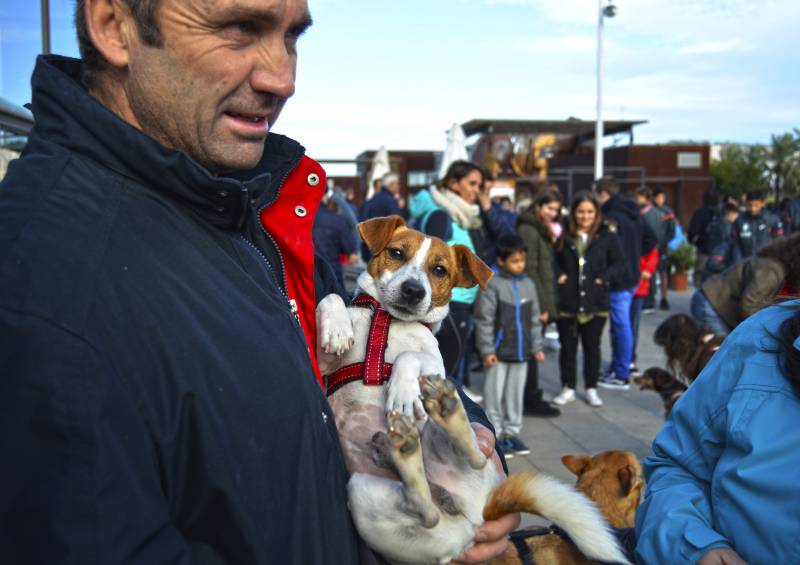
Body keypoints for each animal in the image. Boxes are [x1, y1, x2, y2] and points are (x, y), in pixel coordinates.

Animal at [316, 216, 628, 564]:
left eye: (439, 270)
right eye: (396, 253)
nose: (413, 290)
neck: (388, 320)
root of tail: (473, 523)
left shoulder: (437, 366)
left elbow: (410, 356)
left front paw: (402, 390)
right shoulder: (326, 367)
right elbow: (330, 299)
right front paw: (337, 327)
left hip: (435, 455)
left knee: (472, 460)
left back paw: (442, 416)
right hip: (363, 492)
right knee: (425, 509)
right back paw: (403, 451)